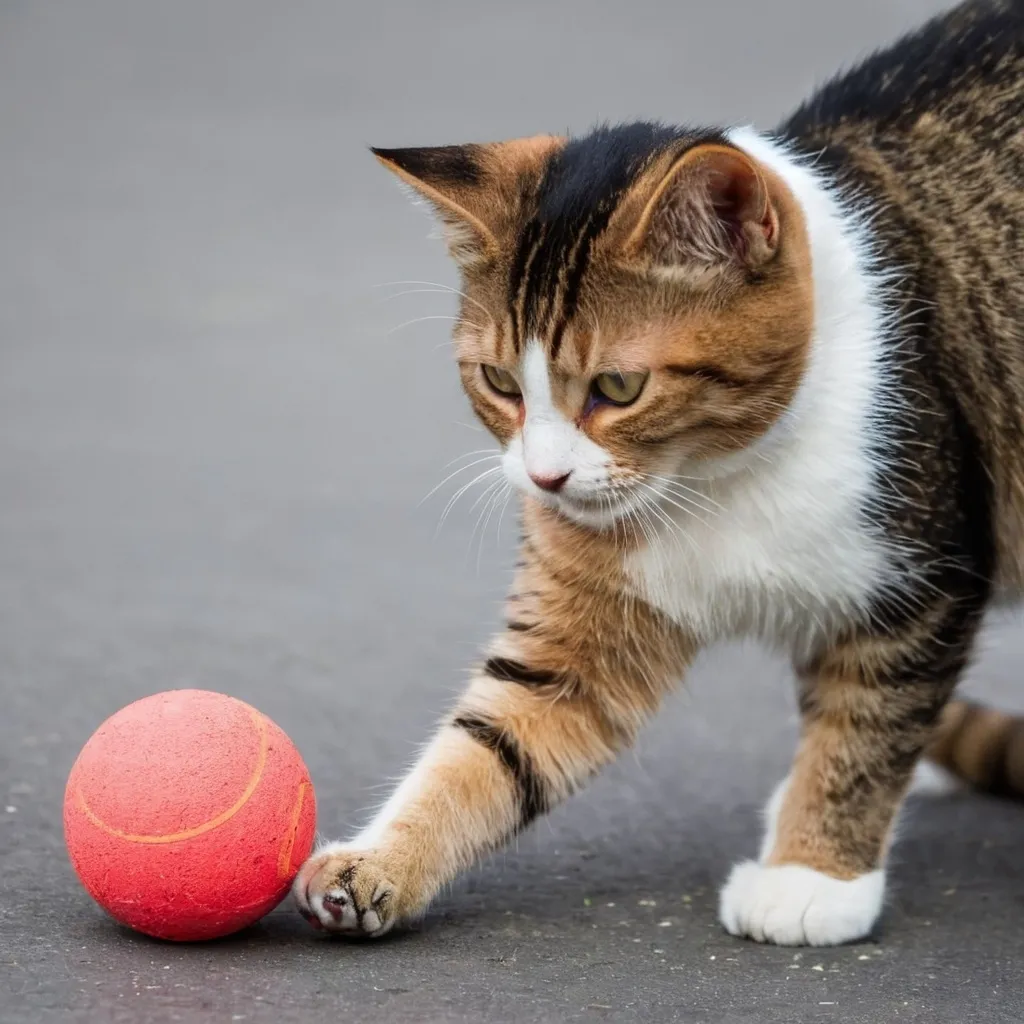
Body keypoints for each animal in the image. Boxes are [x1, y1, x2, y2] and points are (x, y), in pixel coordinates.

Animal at [294, 0, 1024, 942]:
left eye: (617, 387)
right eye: (500, 382)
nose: (543, 480)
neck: (712, 477)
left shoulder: (921, 571)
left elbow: (864, 729)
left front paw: (812, 875)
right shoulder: (578, 622)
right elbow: (493, 744)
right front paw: (381, 861)